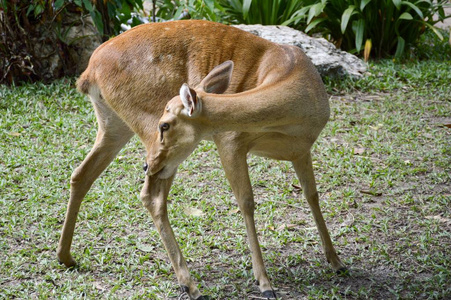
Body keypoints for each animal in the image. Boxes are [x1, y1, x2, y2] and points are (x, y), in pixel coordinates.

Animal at [56, 19, 346, 298]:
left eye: (166, 125)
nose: (146, 165)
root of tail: (89, 72)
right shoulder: (230, 140)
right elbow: (247, 202)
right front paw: (265, 284)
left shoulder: (301, 150)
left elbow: (312, 195)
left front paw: (336, 261)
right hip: (147, 133)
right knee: (151, 195)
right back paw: (191, 286)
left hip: (114, 125)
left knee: (81, 175)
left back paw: (66, 257)